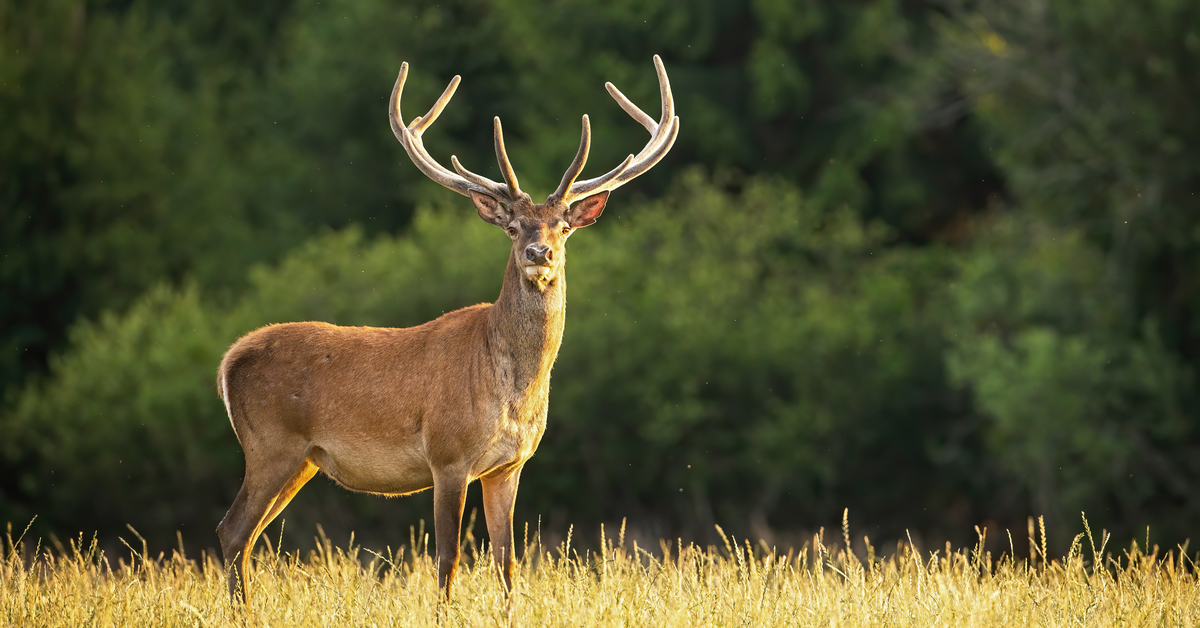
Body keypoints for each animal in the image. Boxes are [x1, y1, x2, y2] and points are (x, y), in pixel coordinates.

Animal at [216, 55, 681, 605]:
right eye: (513, 227)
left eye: (563, 227)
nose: (539, 252)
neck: (512, 389)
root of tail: (229, 361)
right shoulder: (447, 454)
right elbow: (448, 558)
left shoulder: (509, 465)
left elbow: (507, 561)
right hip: (270, 444)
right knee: (232, 530)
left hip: (302, 459)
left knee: (246, 535)